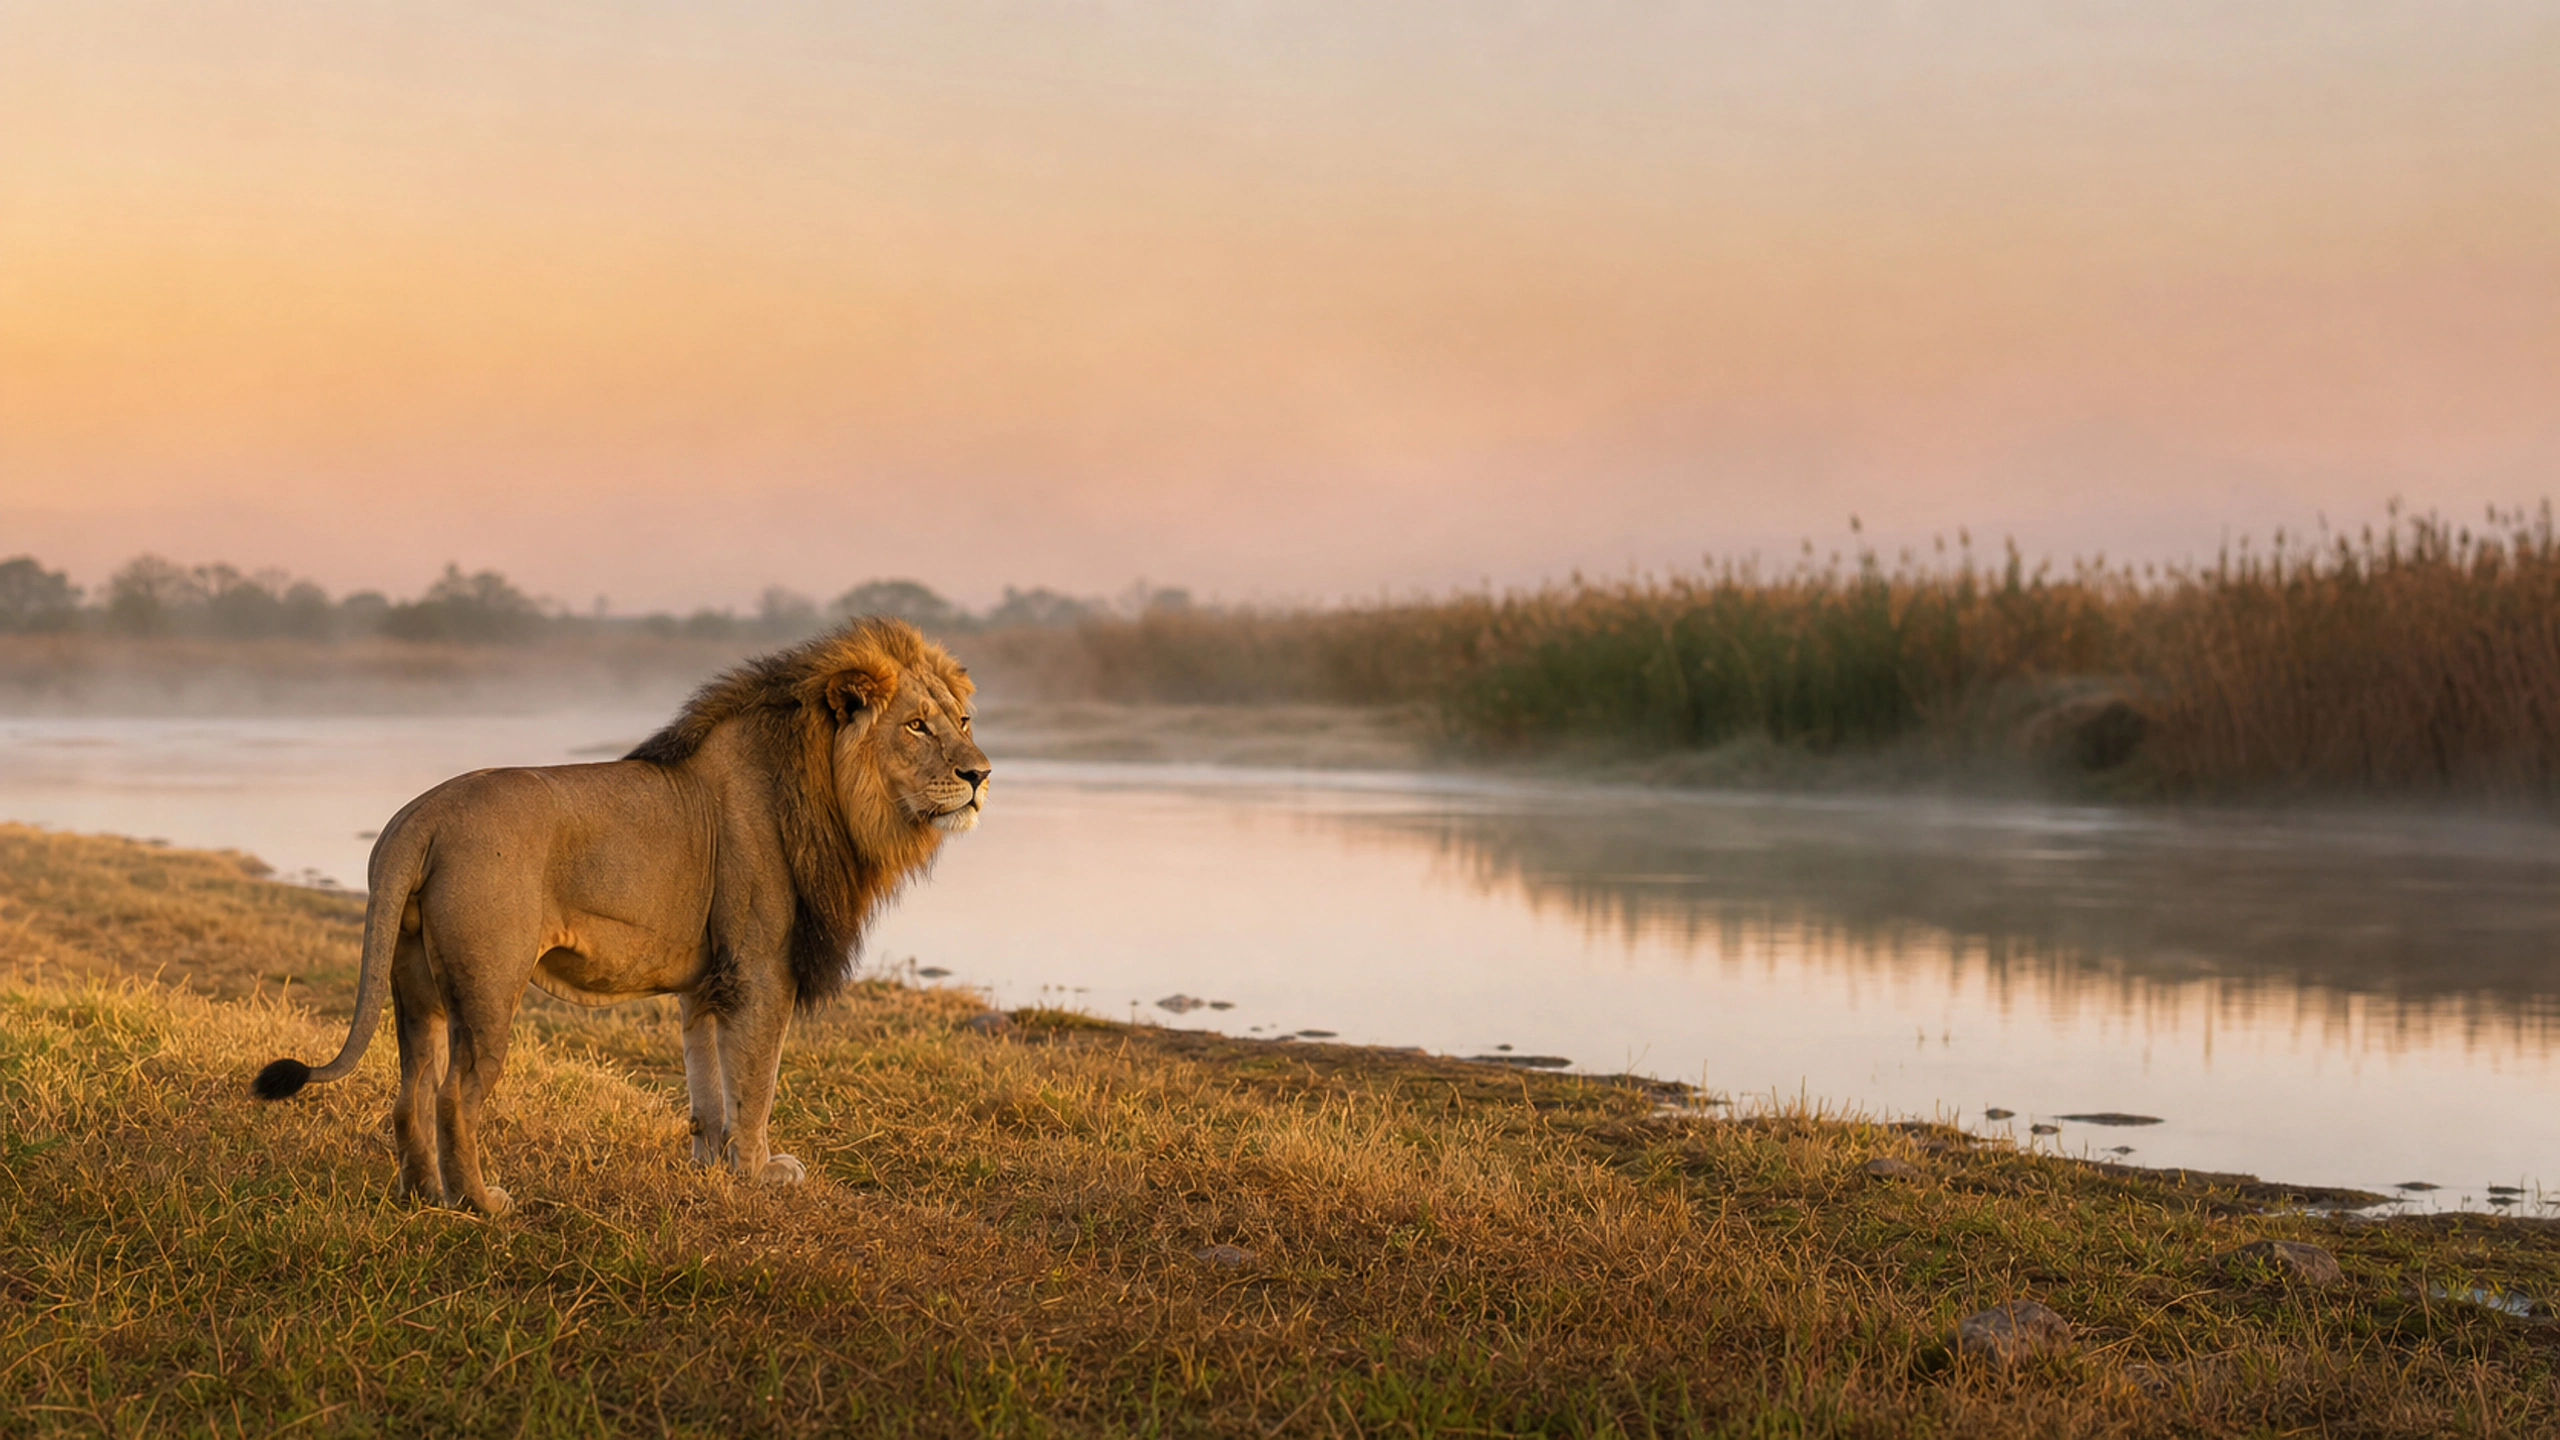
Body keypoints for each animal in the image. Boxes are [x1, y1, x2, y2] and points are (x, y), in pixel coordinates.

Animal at [251, 618, 990, 1215]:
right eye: (916, 725)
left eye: (962, 721)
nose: (980, 775)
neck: (832, 790)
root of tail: (419, 815)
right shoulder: (761, 970)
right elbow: (757, 1081)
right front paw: (759, 1173)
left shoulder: (708, 981)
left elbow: (708, 1087)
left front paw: (711, 1168)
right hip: (489, 987)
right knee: (454, 1098)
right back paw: (482, 1204)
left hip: (416, 985)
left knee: (409, 1094)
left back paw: (423, 1197)